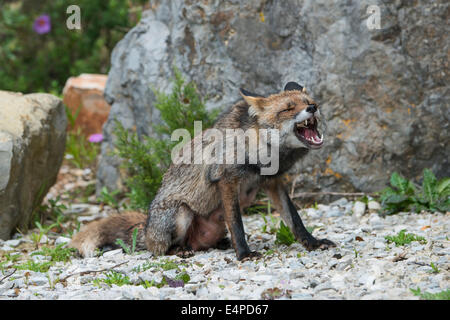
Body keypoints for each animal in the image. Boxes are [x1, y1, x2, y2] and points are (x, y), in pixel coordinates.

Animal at [70, 82, 336, 260]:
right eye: (288, 108)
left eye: (308, 101)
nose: (313, 107)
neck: (266, 154)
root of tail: (146, 228)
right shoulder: (226, 179)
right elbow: (237, 223)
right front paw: (244, 254)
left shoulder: (273, 182)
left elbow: (295, 220)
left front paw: (312, 243)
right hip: (181, 214)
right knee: (160, 250)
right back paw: (179, 250)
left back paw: (218, 244)